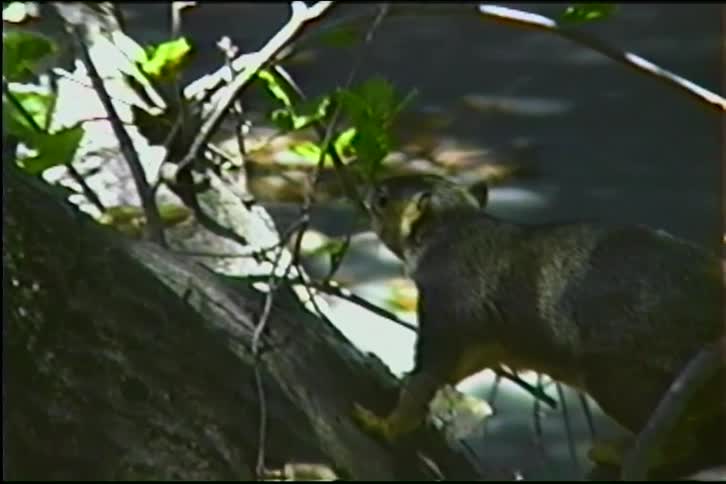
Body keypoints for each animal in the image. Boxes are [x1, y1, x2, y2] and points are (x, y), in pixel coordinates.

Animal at [352, 174, 724, 479]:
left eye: (383, 199)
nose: (367, 190)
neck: (457, 231)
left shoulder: (448, 308)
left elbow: (426, 379)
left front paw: (383, 425)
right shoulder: (481, 339)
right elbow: (459, 368)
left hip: (623, 374)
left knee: (683, 440)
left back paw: (626, 453)